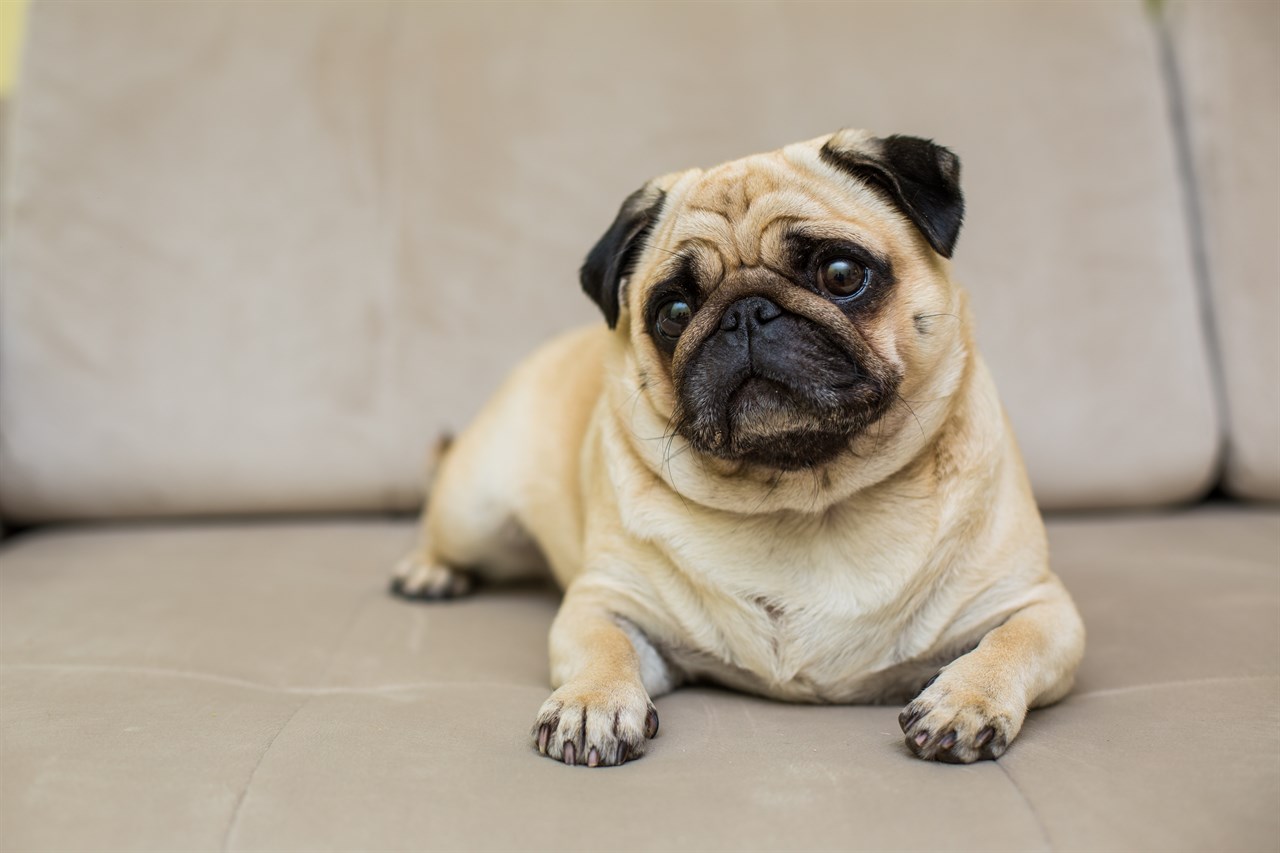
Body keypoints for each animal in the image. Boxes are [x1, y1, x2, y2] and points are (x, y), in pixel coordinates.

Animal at [386, 129, 1080, 768]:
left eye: (841, 275)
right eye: (673, 311)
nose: (745, 313)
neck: (807, 499)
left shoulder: (1038, 607)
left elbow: (1011, 644)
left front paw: (966, 699)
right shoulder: (605, 601)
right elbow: (604, 646)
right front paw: (592, 703)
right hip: (475, 511)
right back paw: (429, 571)